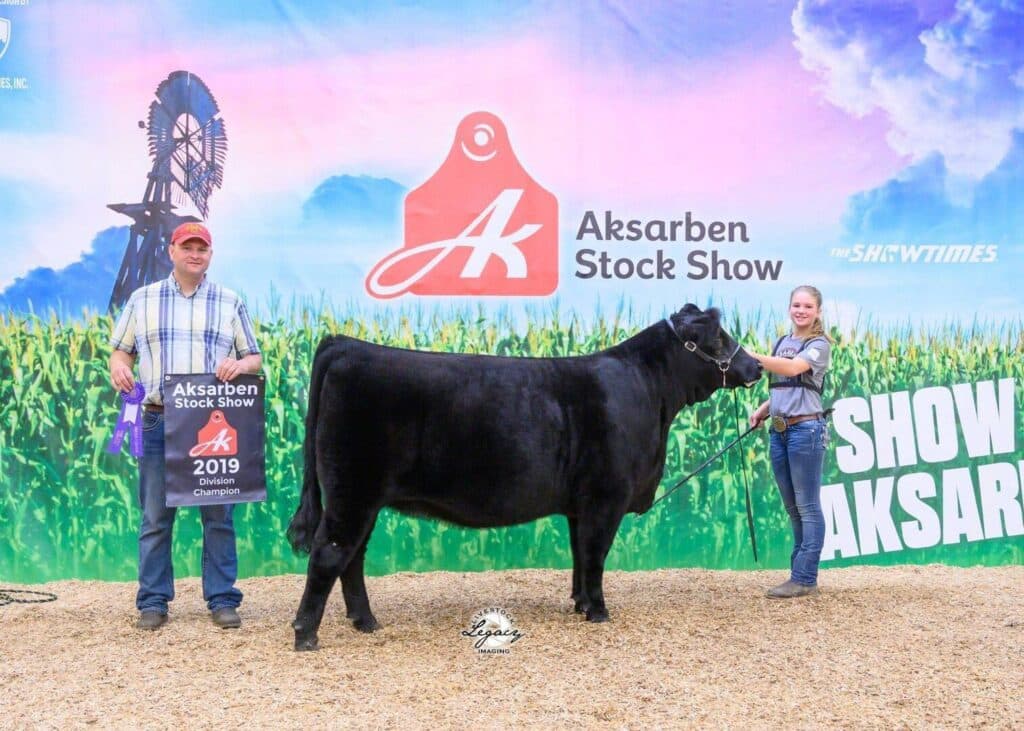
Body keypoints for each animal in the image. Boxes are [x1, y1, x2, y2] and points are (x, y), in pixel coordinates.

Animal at [287, 303, 762, 650]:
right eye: (718, 337)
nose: (756, 367)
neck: (648, 394)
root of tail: (346, 345)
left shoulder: (580, 505)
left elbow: (579, 555)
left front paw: (579, 604)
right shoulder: (606, 498)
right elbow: (595, 556)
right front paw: (599, 612)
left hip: (362, 500)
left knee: (352, 560)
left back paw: (366, 622)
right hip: (352, 494)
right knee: (329, 556)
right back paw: (306, 635)